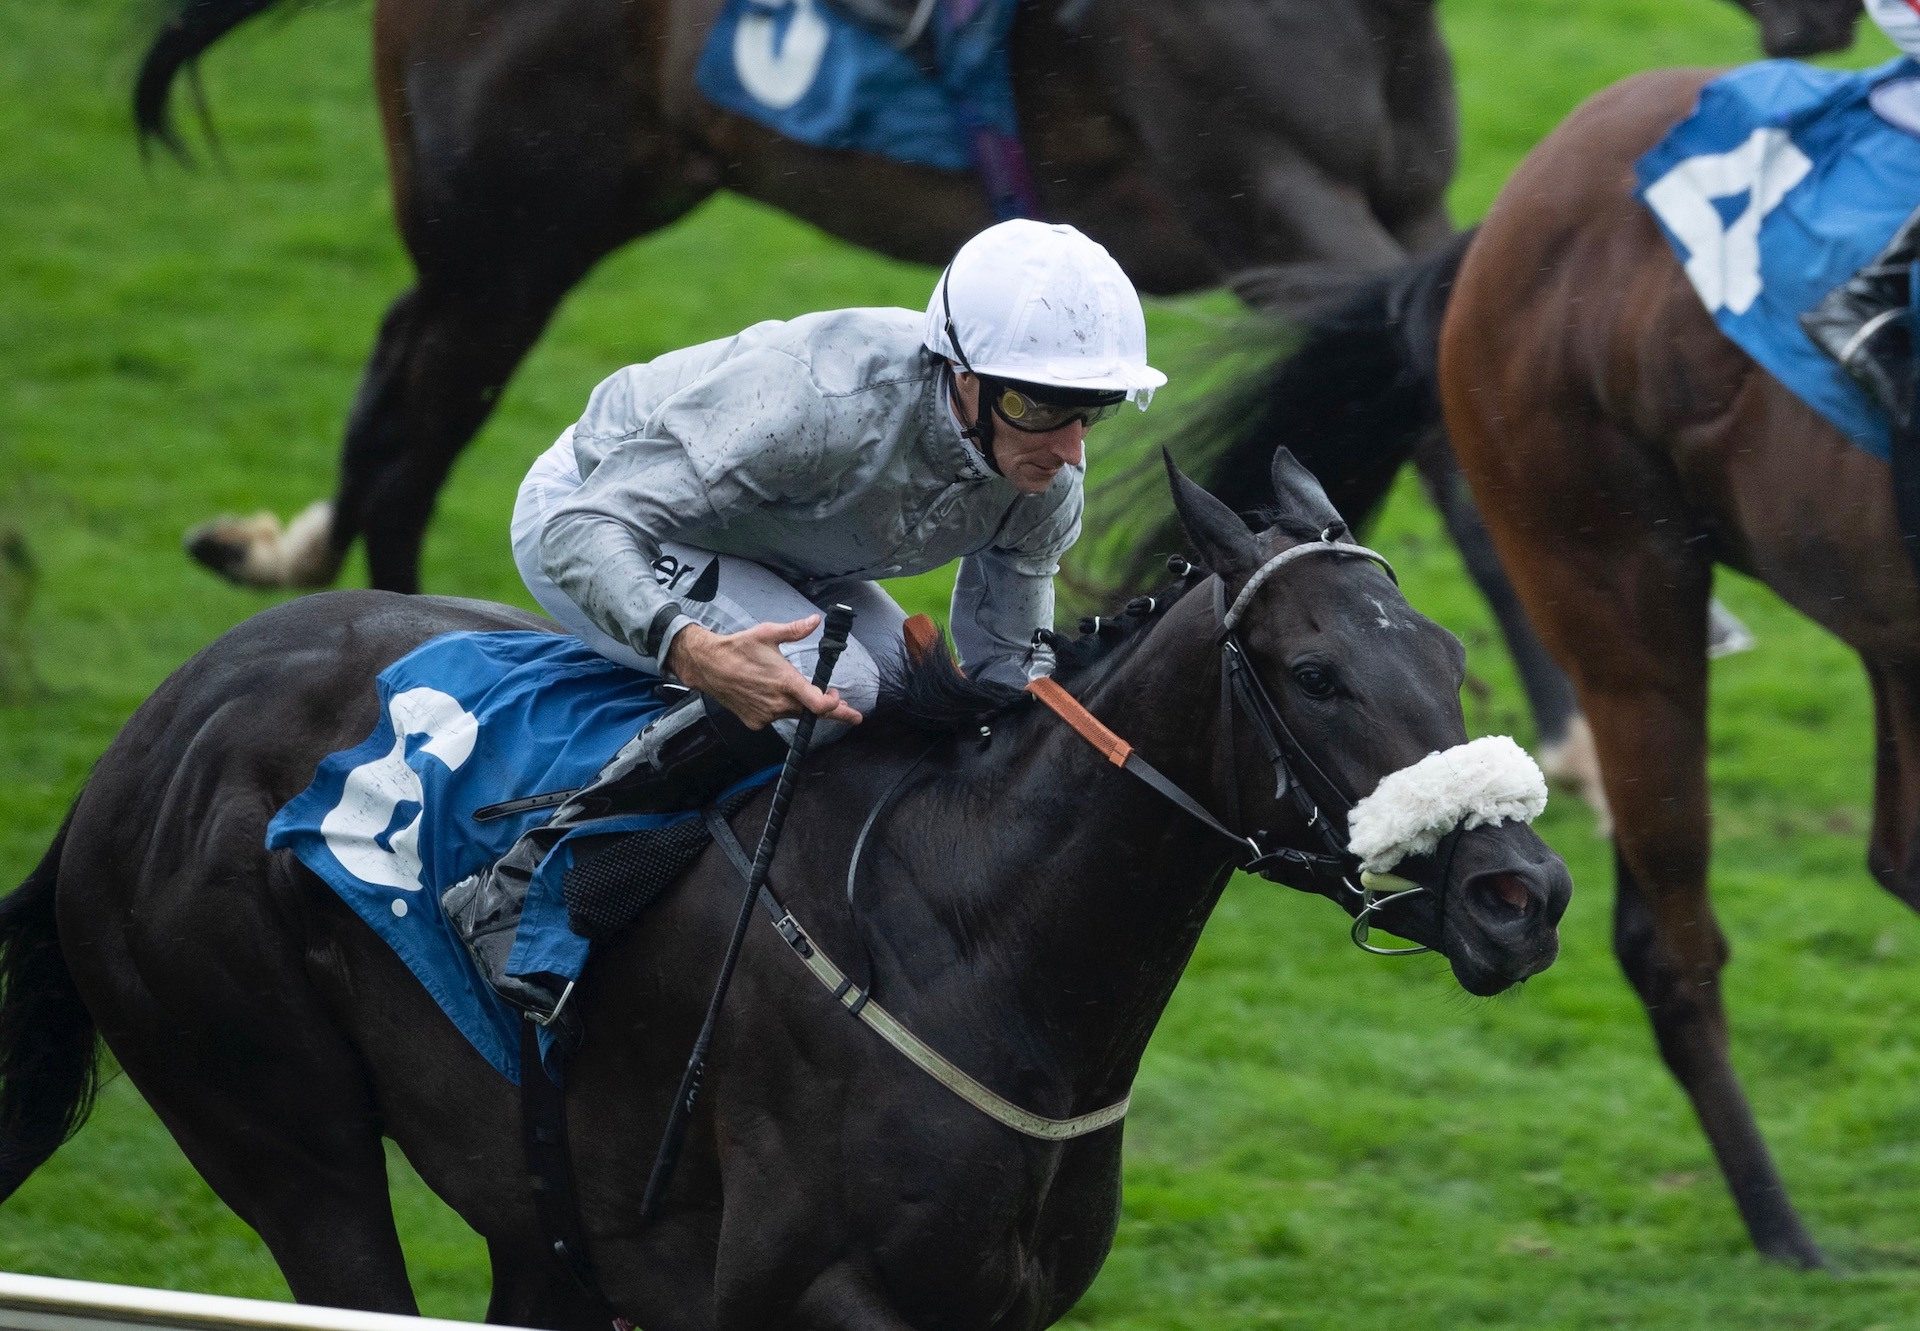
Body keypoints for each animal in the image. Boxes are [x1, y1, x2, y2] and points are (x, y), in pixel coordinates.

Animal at [0, 459, 1566, 1329]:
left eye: (1450, 655)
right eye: (1317, 671)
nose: (1525, 892)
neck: (973, 946)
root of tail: (145, 735)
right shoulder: (815, 1295)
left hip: (541, 1203)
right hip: (276, 1115)